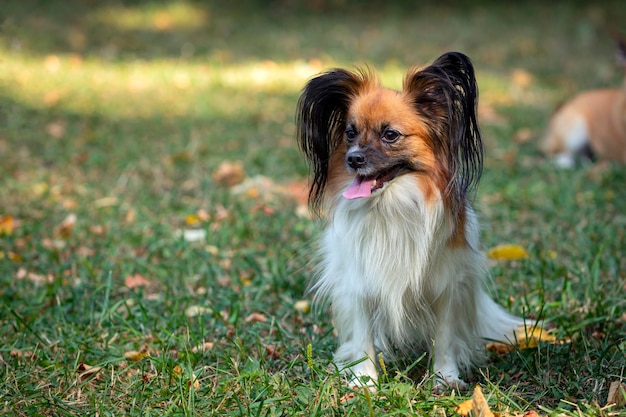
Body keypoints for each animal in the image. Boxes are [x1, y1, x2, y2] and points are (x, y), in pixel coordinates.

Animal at [296, 52, 528, 390]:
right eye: (350, 133)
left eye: (390, 135)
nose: (353, 158)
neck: (392, 205)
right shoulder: (359, 282)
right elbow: (363, 336)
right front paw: (364, 380)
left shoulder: (447, 284)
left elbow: (445, 337)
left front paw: (445, 377)